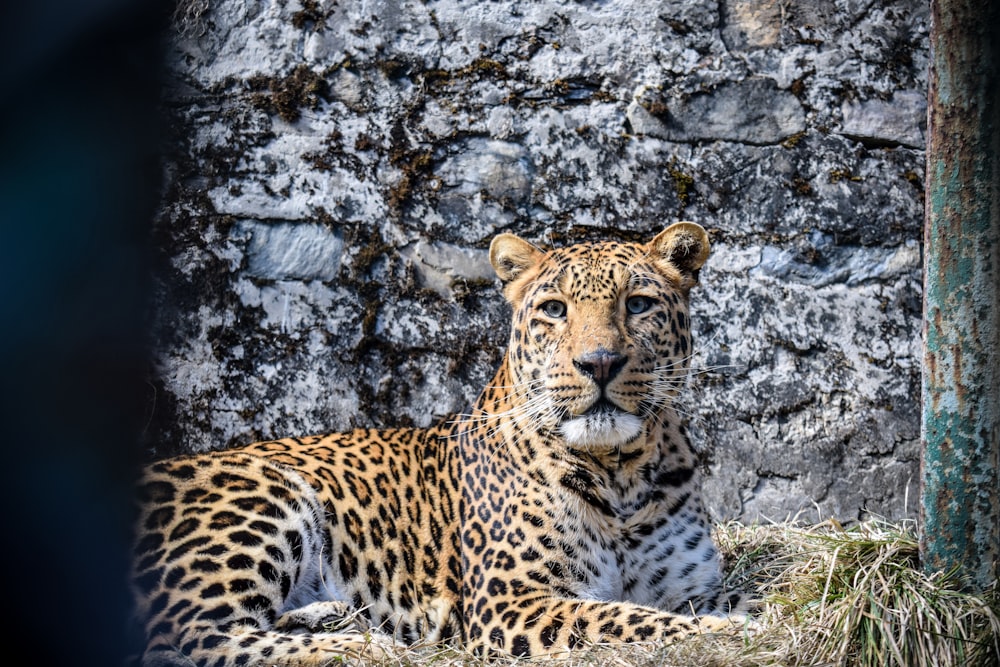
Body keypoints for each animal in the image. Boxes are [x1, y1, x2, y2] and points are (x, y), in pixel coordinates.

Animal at [131, 224, 744, 667]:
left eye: (638, 304)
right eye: (554, 309)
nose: (598, 363)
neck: (620, 472)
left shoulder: (693, 585)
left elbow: (729, 597)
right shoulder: (512, 603)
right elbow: (625, 619)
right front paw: (730, 632)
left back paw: (334, 617)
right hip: (264, 495)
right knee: (194, 639)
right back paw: (364, 647)